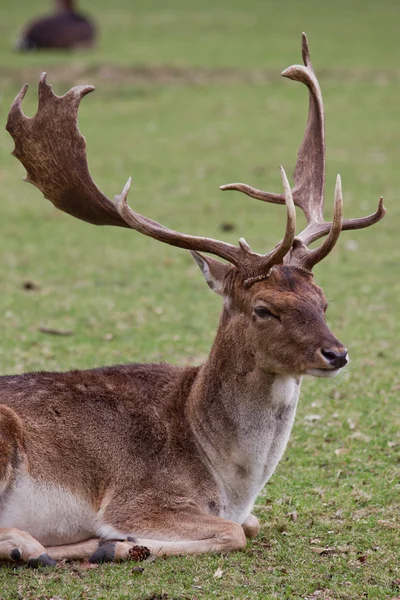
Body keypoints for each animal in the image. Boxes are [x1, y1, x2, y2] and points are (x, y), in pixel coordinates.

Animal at [0, 34, 384, 568]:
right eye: (263, 308)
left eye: (322, 300)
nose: (337, 353)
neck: (227, 480)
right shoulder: (140, 495)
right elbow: (233, 531)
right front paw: (117, 543)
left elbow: (251, 523)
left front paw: (108, 545)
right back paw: (42, 546)